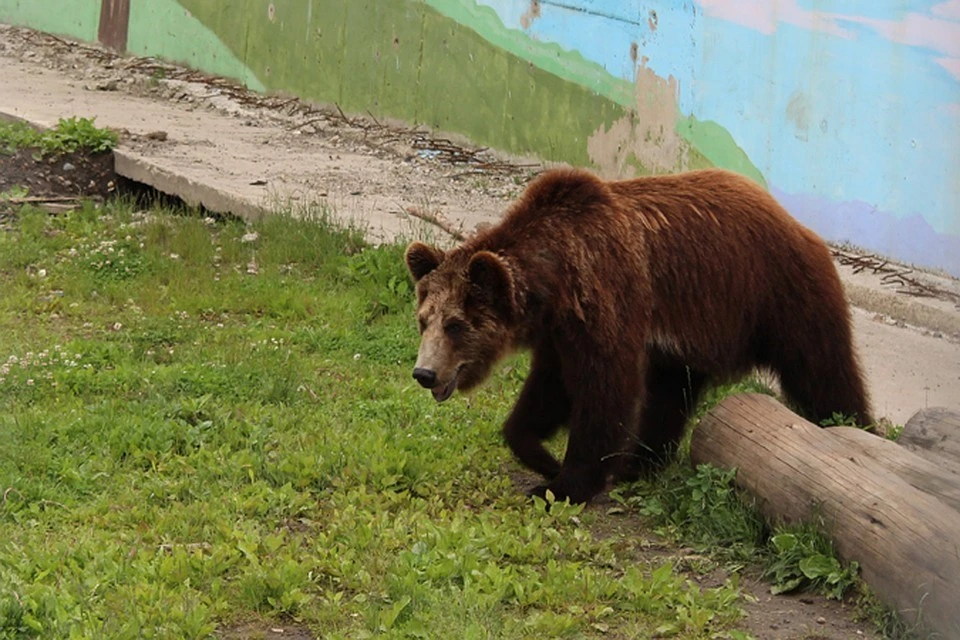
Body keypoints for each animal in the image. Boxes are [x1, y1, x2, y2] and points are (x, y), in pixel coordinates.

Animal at [404, 166, 872, 504]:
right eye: (424, 319)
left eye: (456, 324)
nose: (424, 373)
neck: (555, 283)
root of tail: (799, 226)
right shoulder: (561, 334)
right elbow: (548, 391)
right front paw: (541, 455)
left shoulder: (608, 299)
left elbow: (604, 390)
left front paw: (565, 483)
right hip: (692, 338)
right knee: (669, 396)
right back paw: (639, 463)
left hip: (778, 296)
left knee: (823, 371)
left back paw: (852, 426)